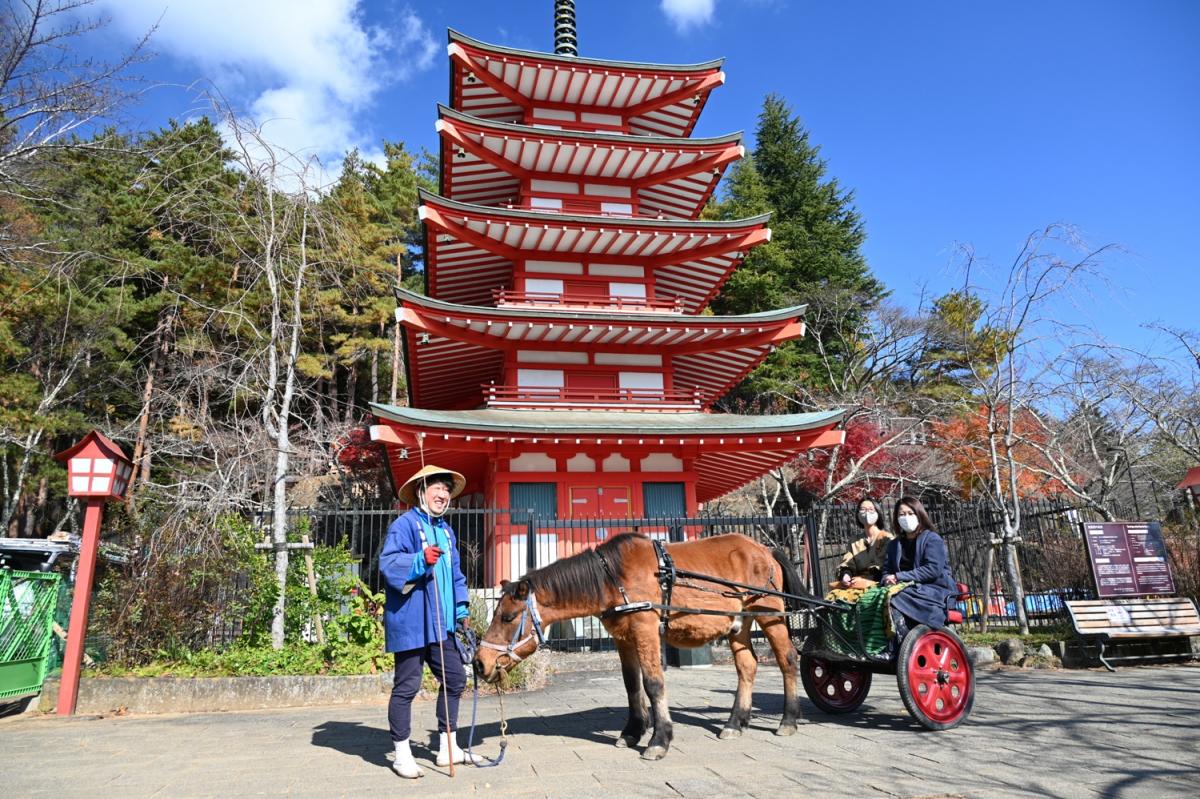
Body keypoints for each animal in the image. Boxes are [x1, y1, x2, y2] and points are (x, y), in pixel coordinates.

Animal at [470, 532, 806, 758]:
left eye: (508, 617)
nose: (479, 662)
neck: (611, 577)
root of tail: (765, 549)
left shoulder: (645, 629)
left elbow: (653, 683)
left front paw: (659, 739)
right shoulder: (623, 637)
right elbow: (632, 685)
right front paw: (632, 731)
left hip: (770, 613)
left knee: (788, 659)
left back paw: (788, 720)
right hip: (739, 623)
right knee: (747, 666)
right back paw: (735, 723)